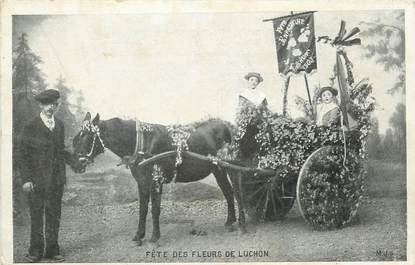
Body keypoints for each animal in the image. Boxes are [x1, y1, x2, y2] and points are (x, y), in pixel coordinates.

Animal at [72, 112, 247, 245]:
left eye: (87, 136)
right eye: (76, 138)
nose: (76, 164)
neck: (142, 142)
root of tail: (228, 126)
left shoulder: (156, 180)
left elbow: (155, 209)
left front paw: (155, 236)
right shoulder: (142, 182)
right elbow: (143, 209)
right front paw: (138, 235)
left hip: (232, 168)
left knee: (238, 194)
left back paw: (242, 224)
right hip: (218, 170)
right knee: (228, 193)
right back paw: (229, 222)